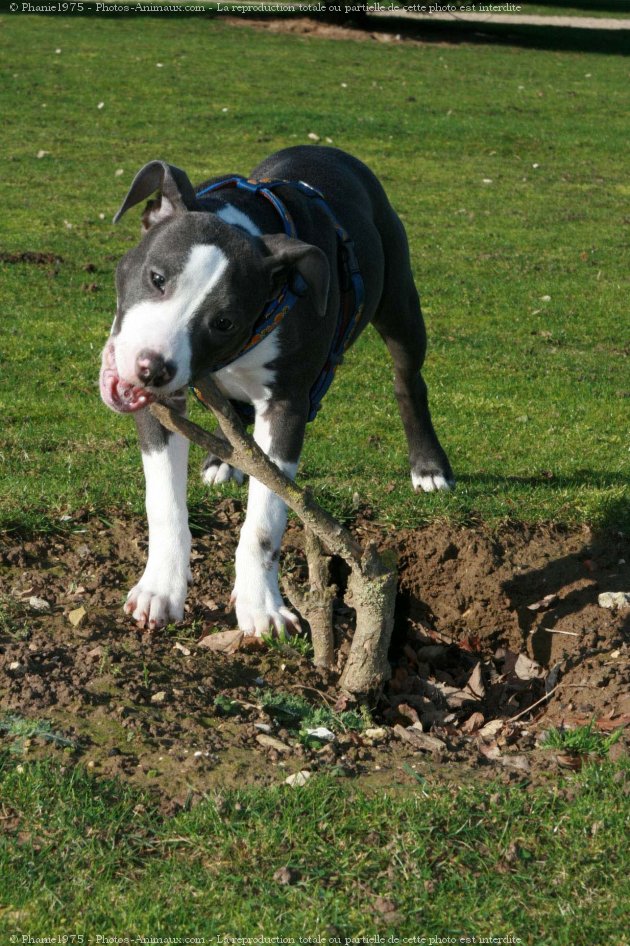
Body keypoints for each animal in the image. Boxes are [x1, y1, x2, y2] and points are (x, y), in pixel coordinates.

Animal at [100, 146, 454, 636]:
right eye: (156, 278)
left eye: (224, 321)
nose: (152, 368)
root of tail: (325, 150)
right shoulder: (165, 407)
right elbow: (165, 502)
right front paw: (160, 590)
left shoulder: (287, 404)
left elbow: (265, 517)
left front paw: (261, 605)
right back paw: (222, 460)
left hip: (400, 304)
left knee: (408, 382)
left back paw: (429, 465)